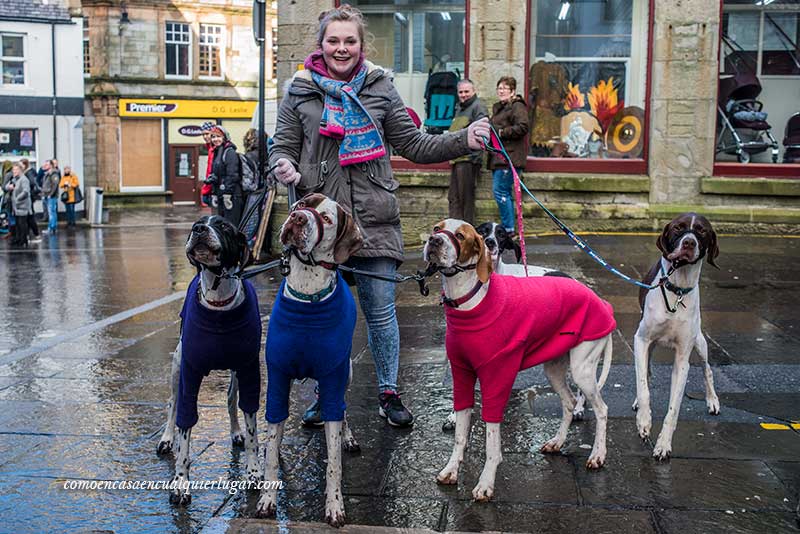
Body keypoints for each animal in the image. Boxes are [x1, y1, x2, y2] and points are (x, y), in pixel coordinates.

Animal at [159, 217, 262, 506]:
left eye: (224, 226)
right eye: (196, 224)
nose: (199, 230)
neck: (219, 303)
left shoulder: (249, 370)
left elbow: (252, 429)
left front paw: (253, 472)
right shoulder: (189, 374)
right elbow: (184, 427)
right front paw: (180, 483)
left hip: (236, 373)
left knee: (230, 400)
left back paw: (235, 432)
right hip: (177, 366)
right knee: (172, 404)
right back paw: (167, 439)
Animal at [424, 219, 620, 502]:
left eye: (460, 235)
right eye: (436, 228)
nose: (434, 240)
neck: (469, 301)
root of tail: (602, 302)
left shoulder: (496, 376)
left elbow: (492, 441)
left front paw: (485, 484)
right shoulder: (462, 374)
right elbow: (461, 433)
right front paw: (451, 470)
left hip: (582, 369)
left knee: (601, 409)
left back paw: (598, 455)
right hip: (554, 369)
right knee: (569, 402)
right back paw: (557, 442)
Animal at [636, 213, 720, 460]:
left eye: (701, 230)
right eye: (678, 228)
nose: (689, 243)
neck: (678, 288)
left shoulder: (683, 358)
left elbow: (673, 409)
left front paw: (663, 444)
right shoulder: (641, 340)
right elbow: (643, 387)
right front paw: (644, 421)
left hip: (700, 343)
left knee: (707, 369)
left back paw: (712, 400)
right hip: (651, 345)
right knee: (646, 372)